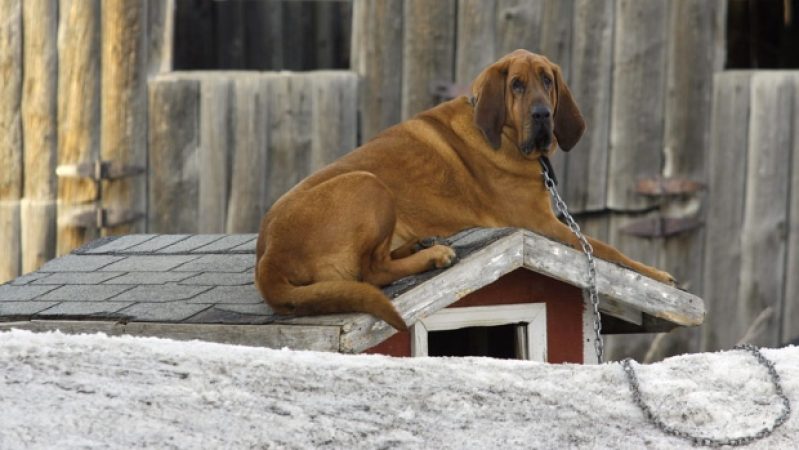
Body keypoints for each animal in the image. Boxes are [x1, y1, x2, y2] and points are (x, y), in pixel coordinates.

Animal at [256, 50, 676, 330]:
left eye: (547, 81)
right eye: (516, 85)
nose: (542, 115)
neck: (505, 136)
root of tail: (268, 256)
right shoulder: (544, 224)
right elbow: (609, 250)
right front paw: (657, 275)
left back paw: (419, 244)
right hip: (367, 183)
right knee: (371, 271)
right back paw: (432, 255)